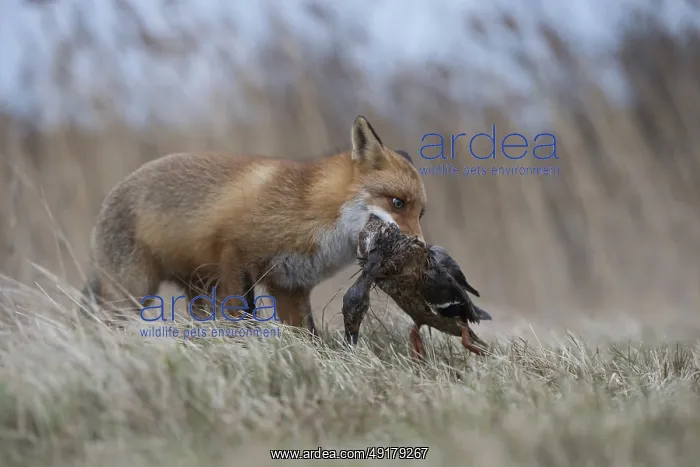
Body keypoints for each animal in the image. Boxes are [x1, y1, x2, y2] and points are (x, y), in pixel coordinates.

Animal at [80, 115, 428, 335]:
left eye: (421, 213)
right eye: (397, 203)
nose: (421, 247)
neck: (308, 206)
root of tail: (108, 200)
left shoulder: (291, 286)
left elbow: (307, 335)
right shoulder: (234, 255)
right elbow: (242, 313)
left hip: (197, 291)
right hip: (134, 290)